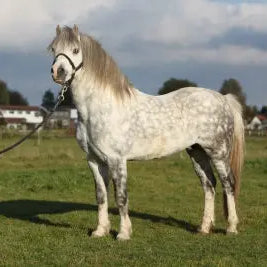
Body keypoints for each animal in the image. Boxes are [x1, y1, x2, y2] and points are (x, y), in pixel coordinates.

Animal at [48, 26, 245, 242]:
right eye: (53, 49)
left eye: (75, 50)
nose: (58, 72)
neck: (99, 108)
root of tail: (223, 99)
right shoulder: (94, 160)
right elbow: (101, 195)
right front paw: (100, 231)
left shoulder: (117, 160)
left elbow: (121, 196)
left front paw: (123, 233)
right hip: (197, 152)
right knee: (209, 185)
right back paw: (204, 227)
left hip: (218, 153)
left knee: (228, 184)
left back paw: (231, 227)